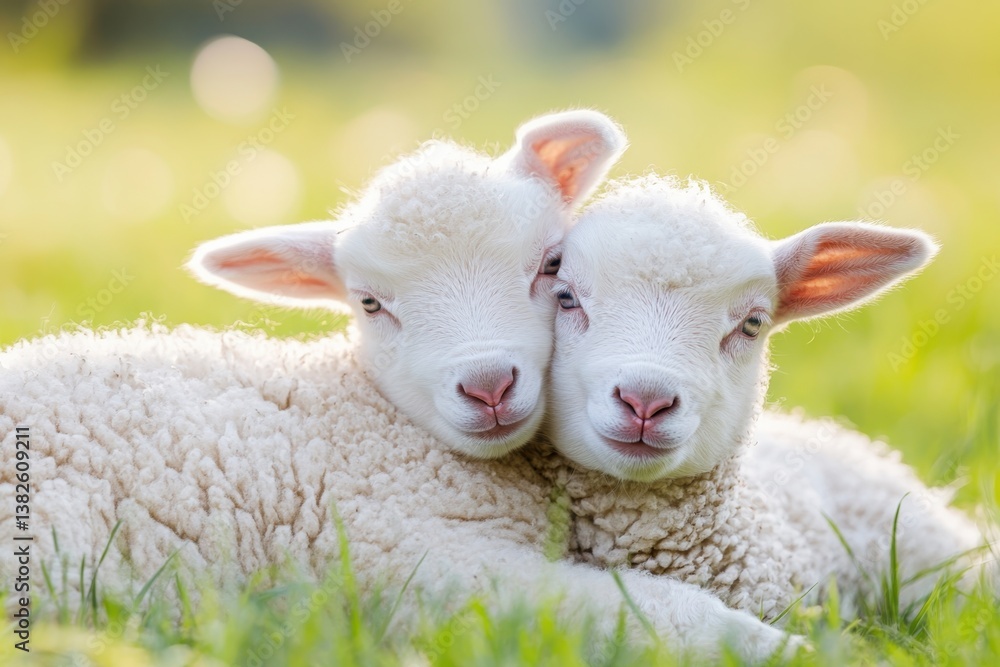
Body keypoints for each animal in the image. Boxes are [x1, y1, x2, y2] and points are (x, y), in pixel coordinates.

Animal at [0, 116, 803, 663]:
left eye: (548, 266)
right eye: (369, 303)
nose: (488, 385)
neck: (373, 415)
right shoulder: (420, 557)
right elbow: (646, 611)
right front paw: (782, 646)